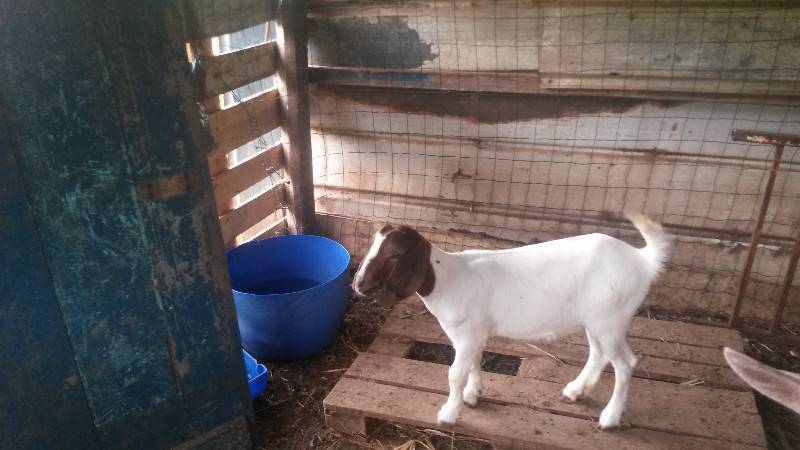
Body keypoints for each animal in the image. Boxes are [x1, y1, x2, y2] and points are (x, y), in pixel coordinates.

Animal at [354, 214, 672, 428]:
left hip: (610, 318)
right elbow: (474, 363)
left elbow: (455, 374)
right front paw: (472, 395)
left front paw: (448, 414)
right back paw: (575, 391)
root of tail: (643, 259)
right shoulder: (475, 334)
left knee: (625, 364)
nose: (359, 284)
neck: (447, 279)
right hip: (597, 319)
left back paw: (609, 417)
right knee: (599, 354)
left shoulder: (467, 335)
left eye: (395, 254)